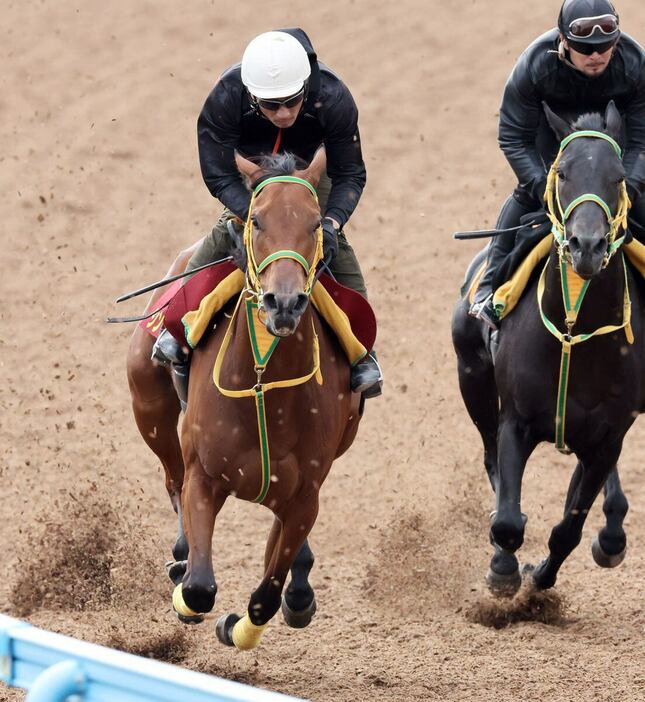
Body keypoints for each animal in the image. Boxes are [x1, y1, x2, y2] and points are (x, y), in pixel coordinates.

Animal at [126, 155, 362, 656]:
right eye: (257, 220)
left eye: (315, 224)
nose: (284, 302)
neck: (262, 387)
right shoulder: (204, 476)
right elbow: (199, 587)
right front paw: (185, 592)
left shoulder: (305, 495)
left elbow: (266, 594)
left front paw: (238, 625)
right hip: (150, 408)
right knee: (171, 479)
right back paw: (179, 557)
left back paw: (299, 589)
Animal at [450, 103, 640, 600]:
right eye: (563, 172)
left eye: (618, 178)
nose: (587, 245)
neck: (576, 330)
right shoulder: (516, 421)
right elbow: (508, 520)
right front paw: (503, 569)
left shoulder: (608, 436)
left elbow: (569, 527)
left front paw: (541, 579)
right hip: (471, 376)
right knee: (490, 460)